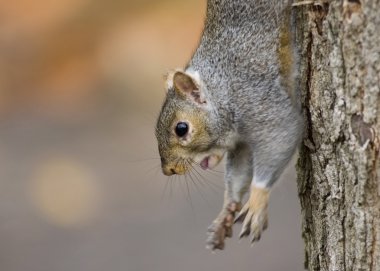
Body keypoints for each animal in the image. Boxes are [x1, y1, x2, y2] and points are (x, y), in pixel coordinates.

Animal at [154, 0, 302, 251]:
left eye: (181, 129)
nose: (169, 170)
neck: (223, 91)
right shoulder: (241, 145)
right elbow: (240, 171)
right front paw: (226, 212)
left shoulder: (259, 101)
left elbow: (282, 136)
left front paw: (257, 201)